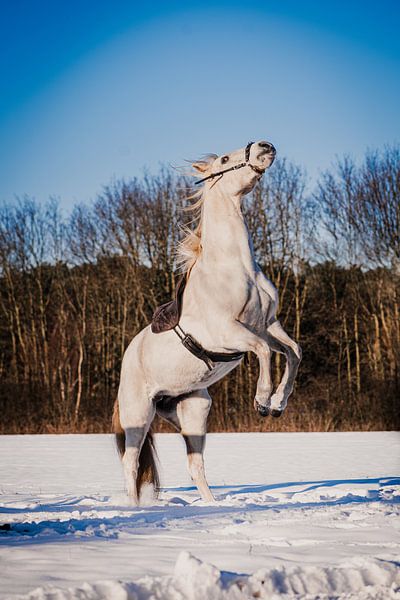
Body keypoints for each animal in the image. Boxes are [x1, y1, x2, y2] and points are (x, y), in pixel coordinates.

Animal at [112, 139, 300, 502]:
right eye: (225, 159)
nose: (264, 147)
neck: (235, 267)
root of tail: (127, 360)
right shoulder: (229, 333)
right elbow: (264, 352)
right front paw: (261, 402)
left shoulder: (268, 325)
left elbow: (293, 352)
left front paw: (278, 404)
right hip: (138, 415)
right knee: (130, 463)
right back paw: (134, 508)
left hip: (194, 414)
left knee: (195, 467)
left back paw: (211, 506)